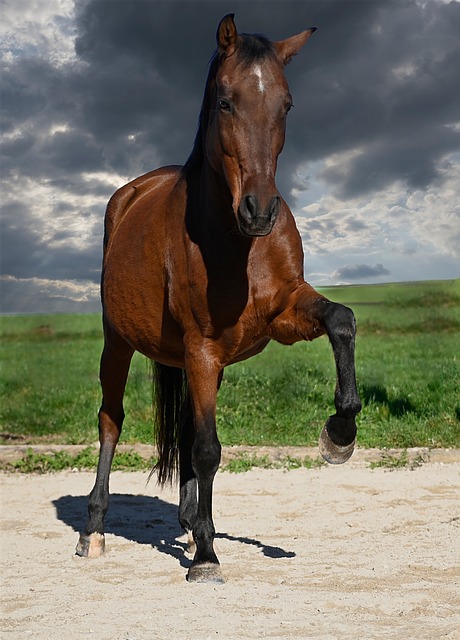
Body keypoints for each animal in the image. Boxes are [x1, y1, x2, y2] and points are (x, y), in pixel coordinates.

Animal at [76, 14, 361, 583]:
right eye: (226, 101)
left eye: (287, 104)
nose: (260, 210)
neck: (232, 241)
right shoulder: (202, 347)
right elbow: (208, 449)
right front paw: (207, 557)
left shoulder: (282, 314)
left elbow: (341, 320)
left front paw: (340, 432)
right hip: (118, 344)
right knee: (110, 421)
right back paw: (96, 529)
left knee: (185, 428)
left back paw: (189, 523)